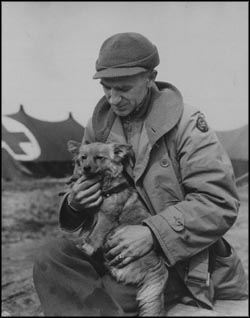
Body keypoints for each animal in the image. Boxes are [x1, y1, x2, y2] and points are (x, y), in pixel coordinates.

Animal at [67, 141, 168, 316]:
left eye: (99, 158)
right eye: (83, 157)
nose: (86, 168)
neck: (103, 184)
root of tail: (158, 269)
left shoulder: (107, 216)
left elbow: (96, 234)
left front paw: (88, 247)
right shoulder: (91, 214)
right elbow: (87, 229)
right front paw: (82, 239)